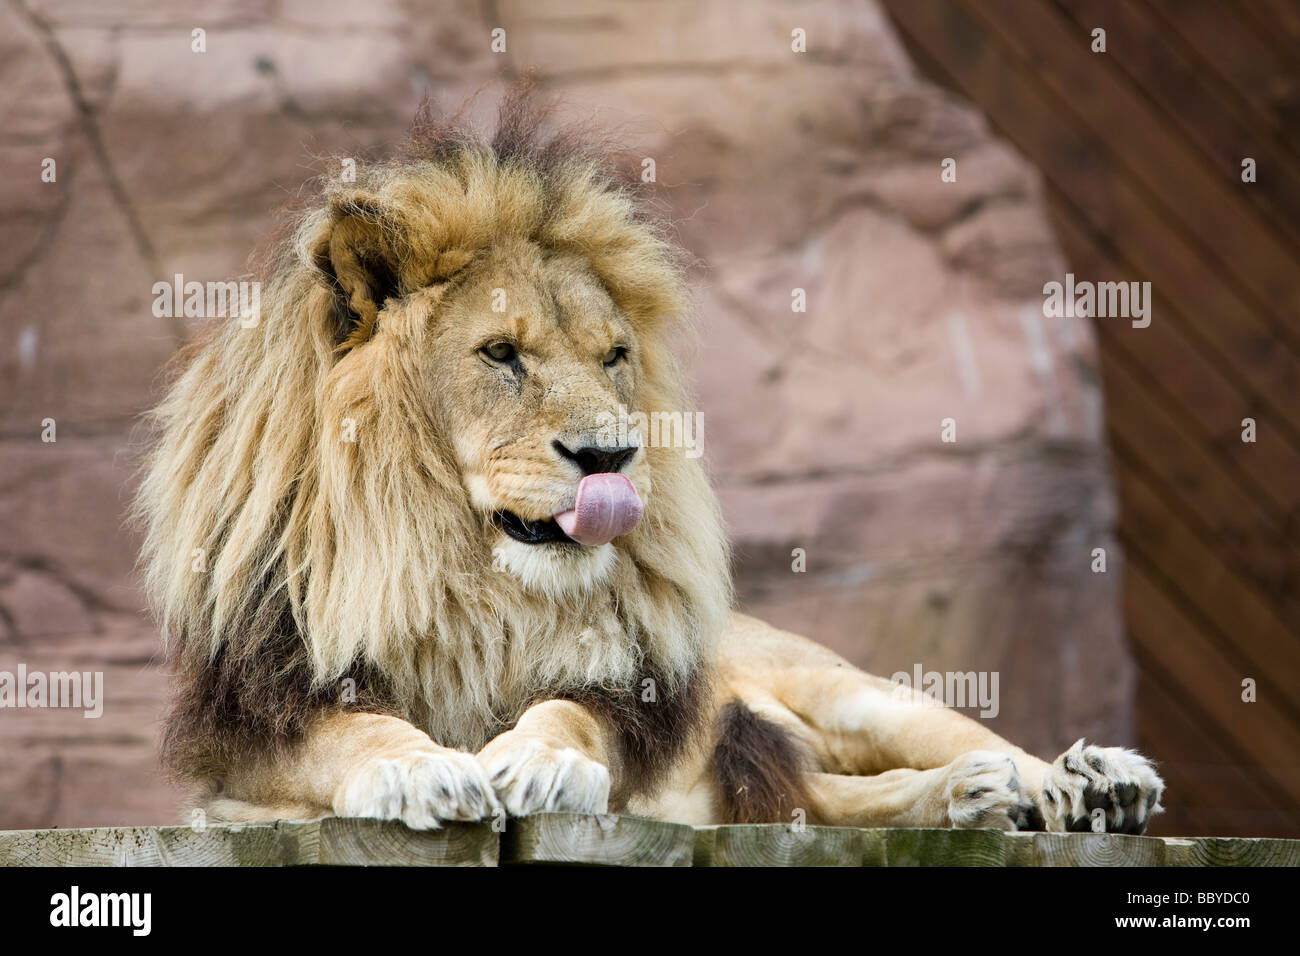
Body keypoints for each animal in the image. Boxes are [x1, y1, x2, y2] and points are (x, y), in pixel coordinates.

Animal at [135, 92, 1164, 836]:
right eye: (501, 355)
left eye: (613, 357)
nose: (611, 457)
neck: (471, 586)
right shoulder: (251, 728)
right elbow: (352, 733)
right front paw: (419, 767)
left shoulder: (634, 699)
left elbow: (571, 713)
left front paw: (541, 762)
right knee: (819, 806)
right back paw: (975, 798)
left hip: (841, 688)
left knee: (940, 736)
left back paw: (1086, 781)